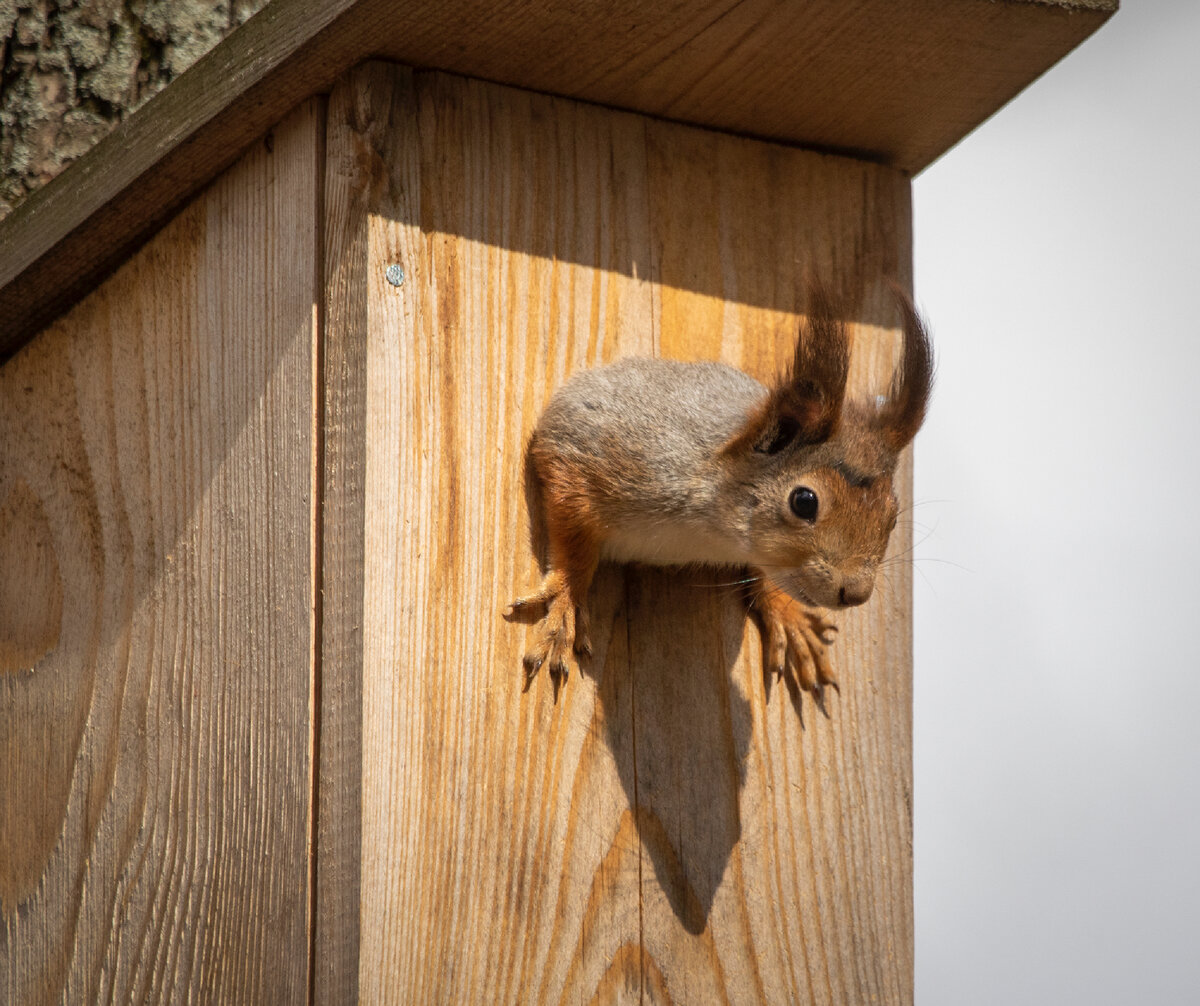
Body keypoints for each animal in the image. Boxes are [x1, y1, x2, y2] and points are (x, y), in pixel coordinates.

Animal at [501, 283, 931, 705]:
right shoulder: (596, 452)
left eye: (892, 516)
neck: (712, 532)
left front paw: (787, 614)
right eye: (804, 501)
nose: (855, 593)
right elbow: (571, 520)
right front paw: (567, 600)